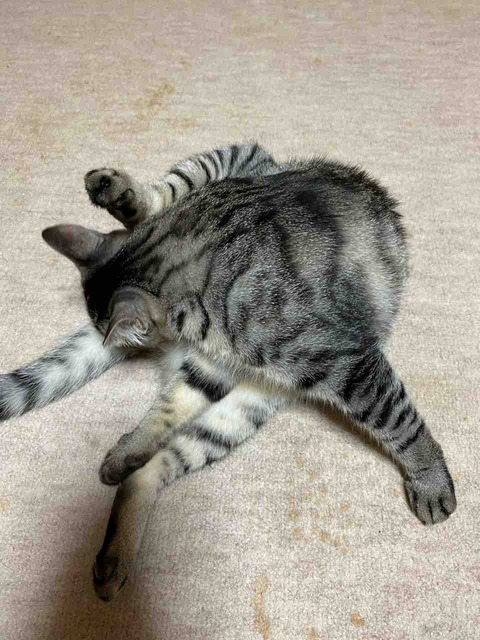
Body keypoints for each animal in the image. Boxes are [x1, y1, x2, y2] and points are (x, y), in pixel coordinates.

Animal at [0, 143, 456, 602]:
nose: (115, 343)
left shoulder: (344, 361)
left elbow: (400, 423)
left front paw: (431, 481)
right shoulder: (232, 362)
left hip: (242, 405)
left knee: (148, 469)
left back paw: (117, 531)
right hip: (231, 162)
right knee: (156, 201)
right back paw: (115, 191)